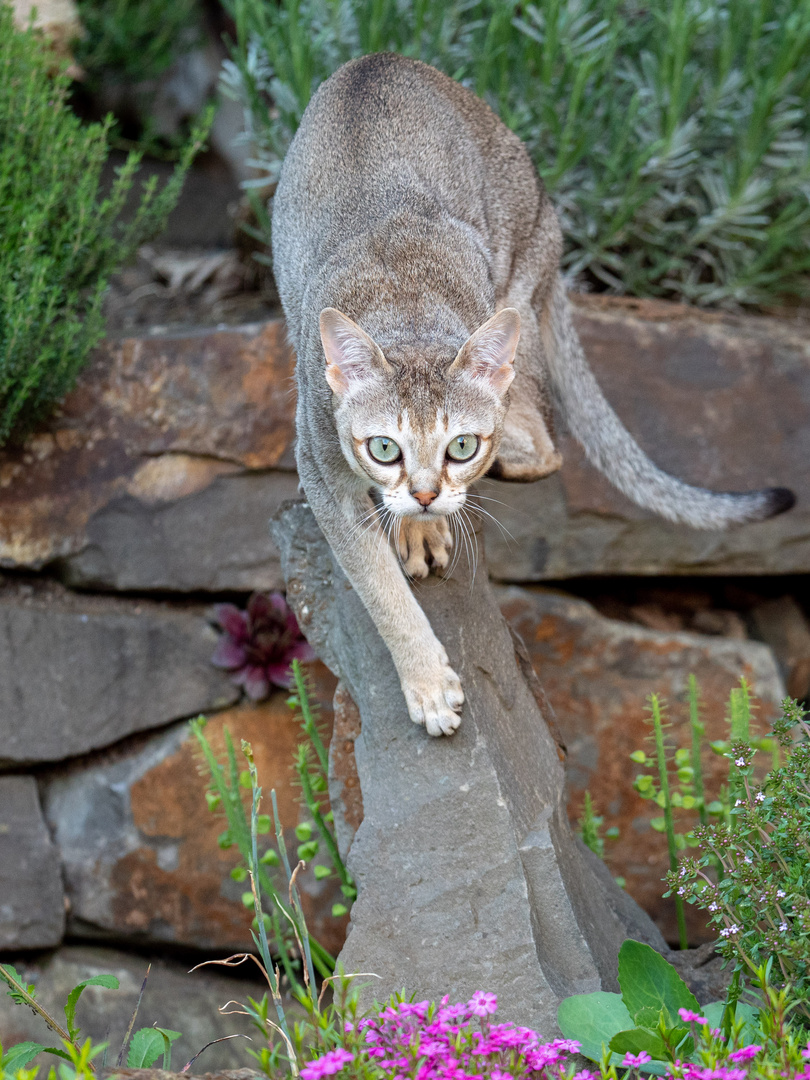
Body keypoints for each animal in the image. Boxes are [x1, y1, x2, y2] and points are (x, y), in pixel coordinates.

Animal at [270, 54, 794, 738]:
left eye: (461, 446)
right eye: (384, 448)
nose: (426, 493)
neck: (405, 307)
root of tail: (379, 60)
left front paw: (425, 528)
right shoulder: (320, 467)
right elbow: (380, 589)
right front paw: (427, 681)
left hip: (520, 289)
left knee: (547, 443)